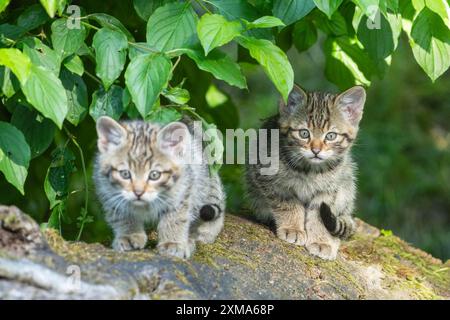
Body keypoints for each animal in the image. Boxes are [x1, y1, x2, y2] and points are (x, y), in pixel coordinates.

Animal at [93, 116, 225, 258]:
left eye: (154, 175)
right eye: (125, 174)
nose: (138, 192)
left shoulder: (181, 192)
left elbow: (176, 218)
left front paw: (172, 243)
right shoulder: (108, 193)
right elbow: (122, 216)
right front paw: (129, 236)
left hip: (205, 181)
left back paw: (204, 233)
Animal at [246, 84, 366, 260]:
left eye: (331, 136)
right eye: (304, 133)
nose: (316, 150)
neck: (310, 170)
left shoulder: (328, 191)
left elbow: (318, 216)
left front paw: (321, 241)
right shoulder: (268, 178)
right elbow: (288, 204)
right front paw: (293, 228)